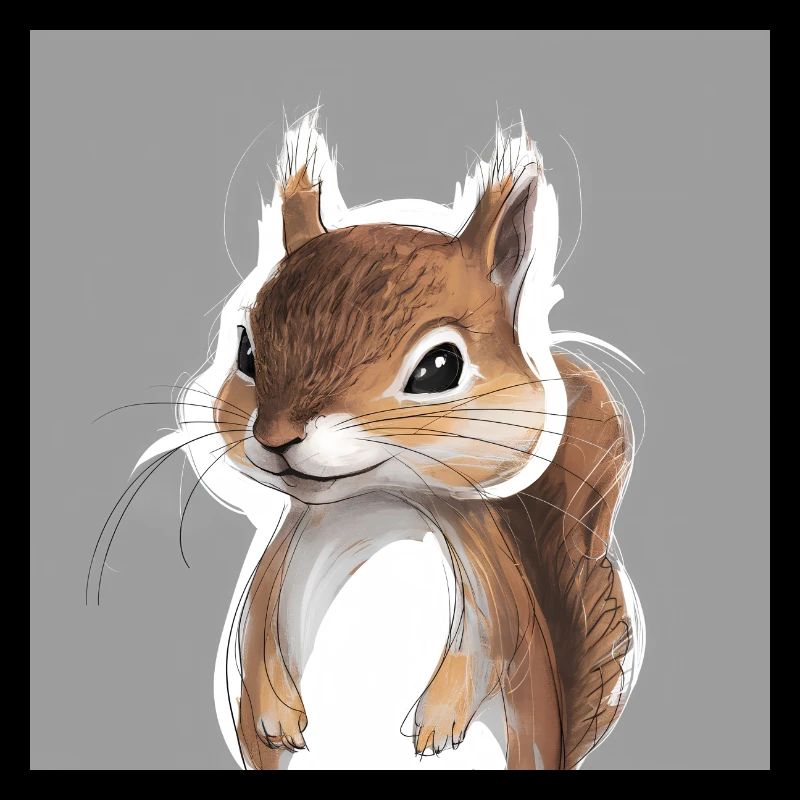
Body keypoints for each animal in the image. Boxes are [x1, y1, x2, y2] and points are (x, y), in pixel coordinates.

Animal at [162, 110, 644, 769]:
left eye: (440, 367)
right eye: (246, 352)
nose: (275, 436)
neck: (377, 505)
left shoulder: (489, 579)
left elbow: (493, 642)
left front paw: (438, 721)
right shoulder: (275, 569)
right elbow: (253, 631)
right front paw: (275, 711)